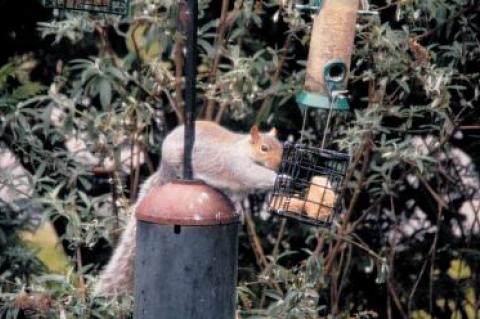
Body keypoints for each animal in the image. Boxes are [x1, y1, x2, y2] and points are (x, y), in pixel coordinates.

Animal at [93, 120, 282, 298]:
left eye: (282, 148)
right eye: (264, 148)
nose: (279, 165)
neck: (244, 149)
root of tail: (164, 167)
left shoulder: (239, 191)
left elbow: (237, 200)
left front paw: (240, 212)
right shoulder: (237, 165)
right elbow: (253, 174)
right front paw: (279, 178)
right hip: (177, 159)